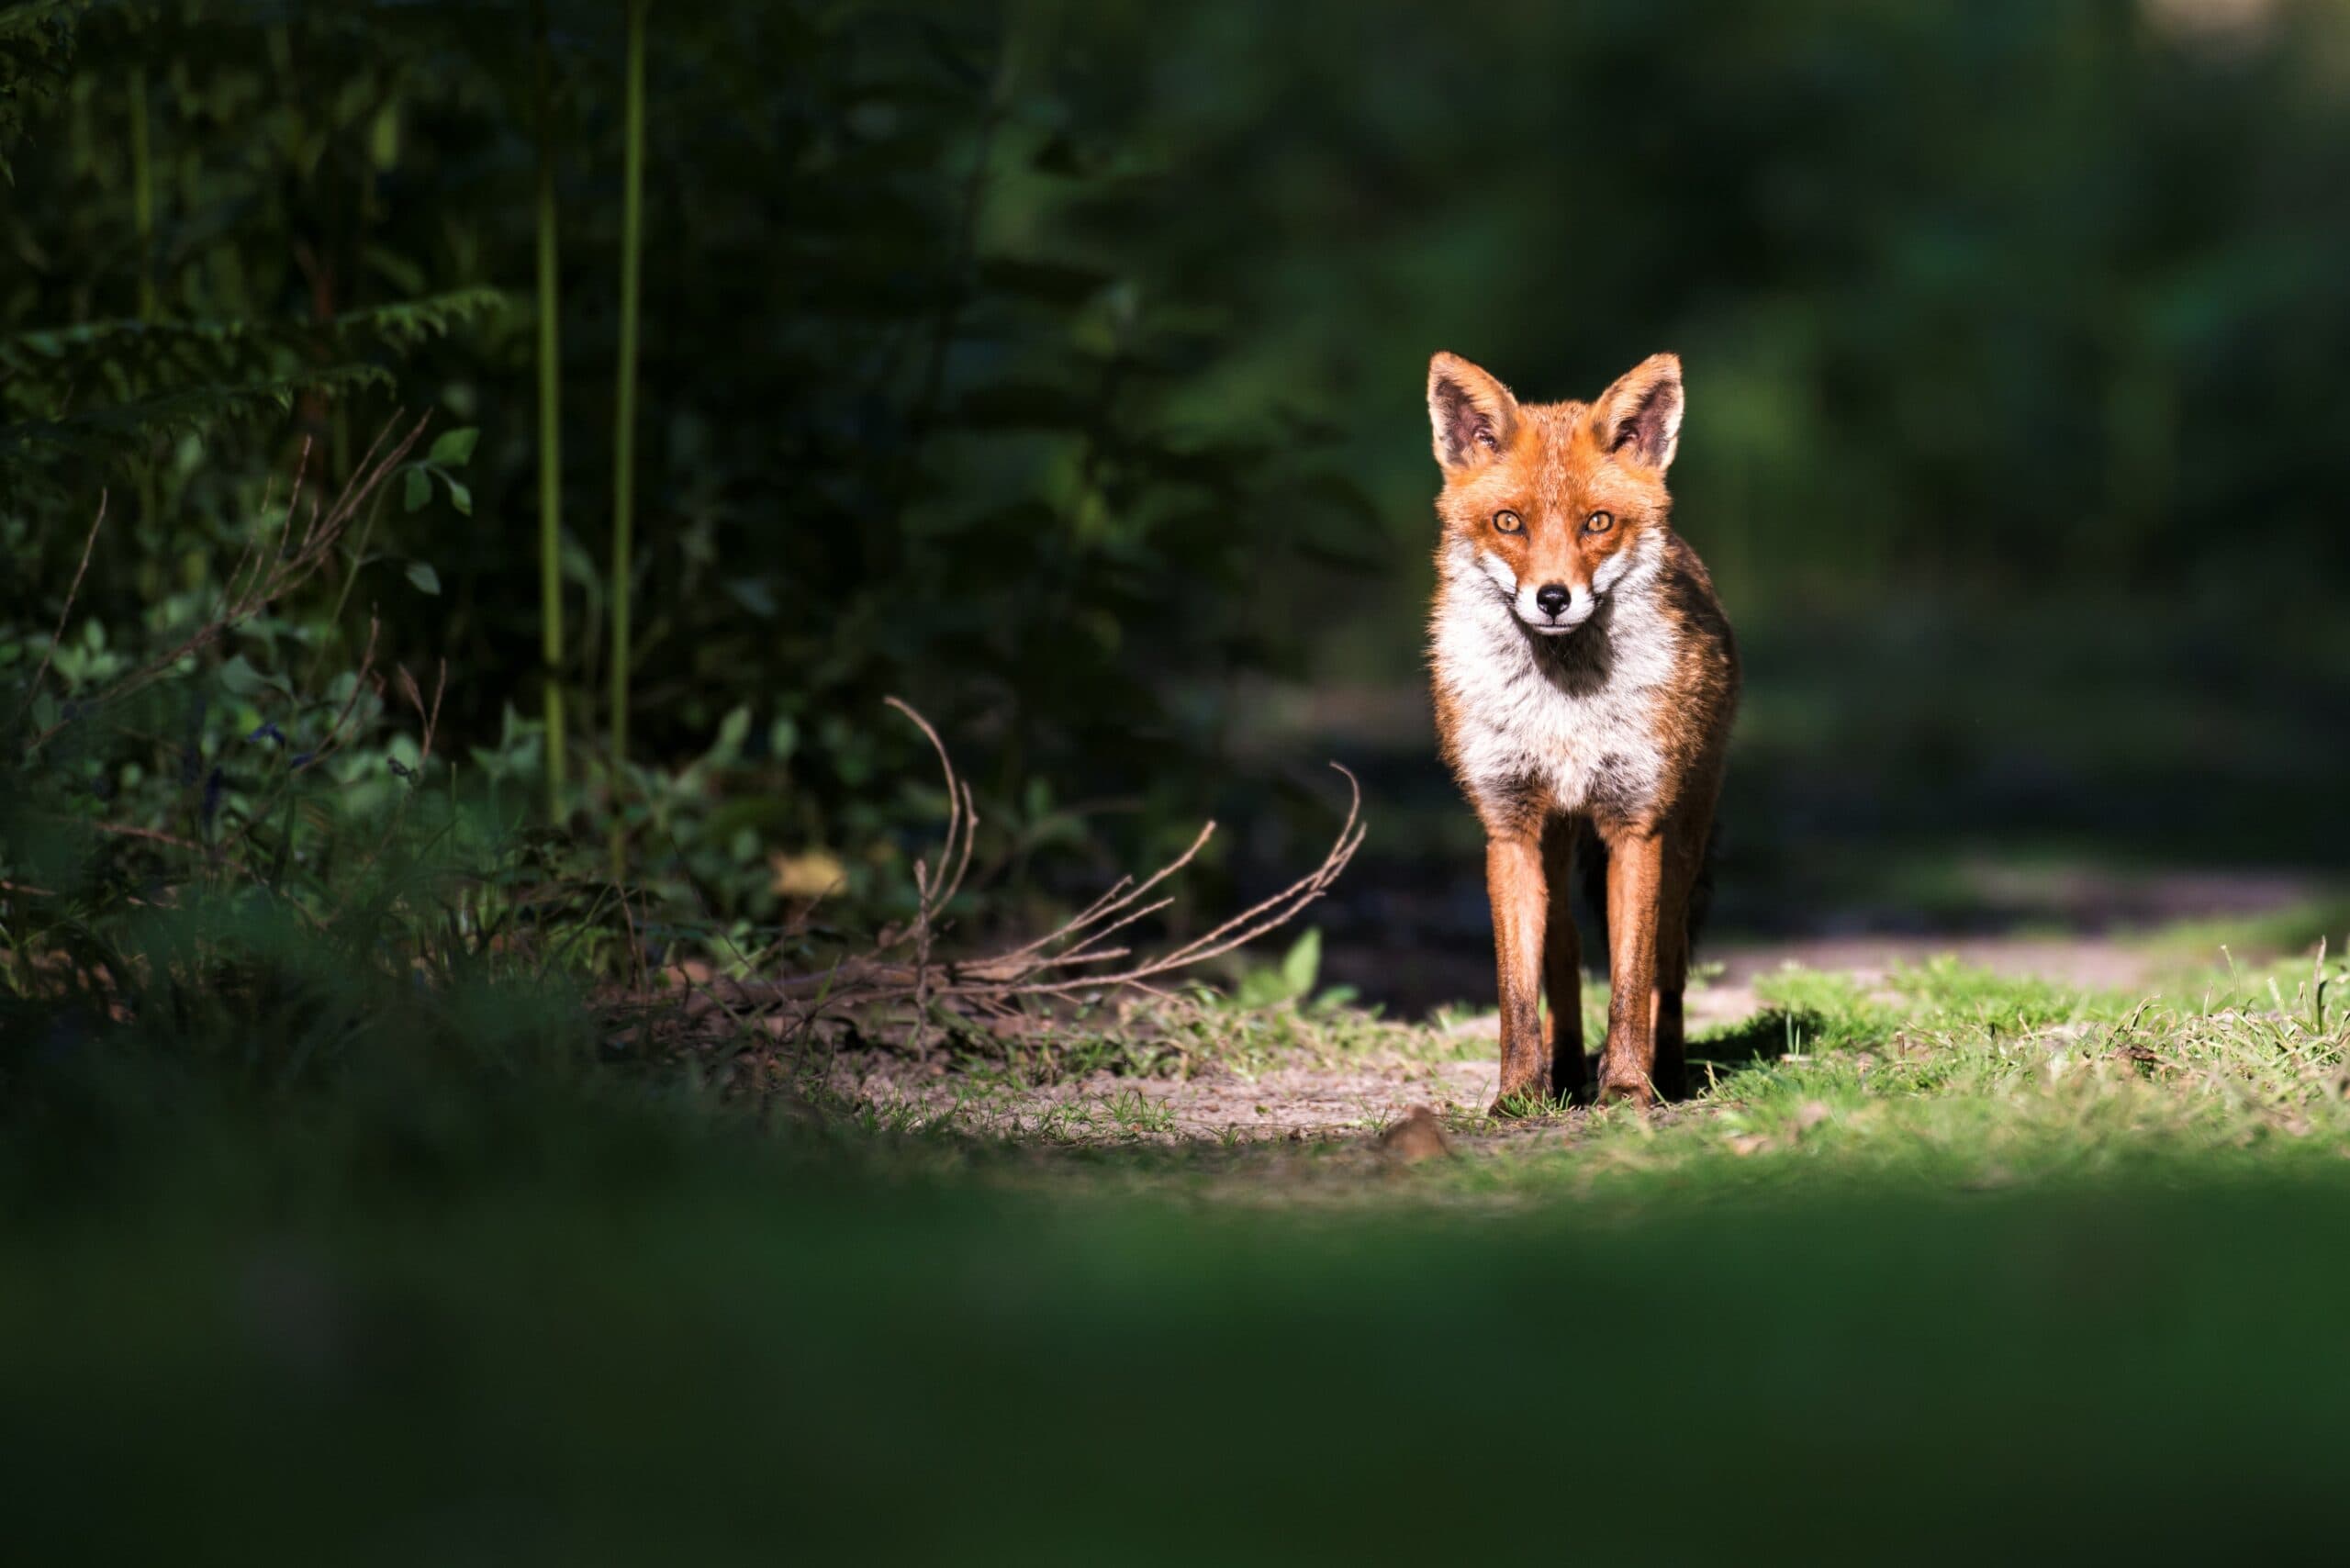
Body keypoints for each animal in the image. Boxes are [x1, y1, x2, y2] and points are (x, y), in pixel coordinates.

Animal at [1419, 354, 1739, 1114]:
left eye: (1598, 522)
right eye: (1509, 522)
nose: (1554, 599)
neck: (1562, 711)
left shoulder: (1637, 826)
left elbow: (1629, 979)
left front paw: (1624, 1085)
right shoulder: (1508, 827)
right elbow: (1516, 989)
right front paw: (1516, 1093)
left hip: (1683, 841)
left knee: (1668, 965)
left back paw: (1667, 1071)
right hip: (1556, 842)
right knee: (1561, 949)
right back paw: (1563, 1068)